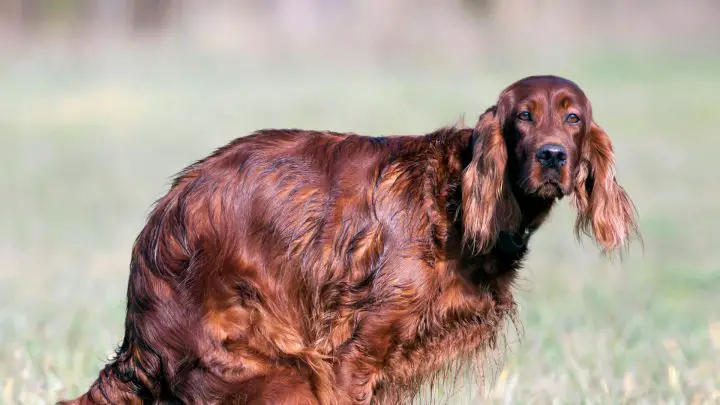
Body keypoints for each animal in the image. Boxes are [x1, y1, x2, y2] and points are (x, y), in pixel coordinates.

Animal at [60, 76, 636, 404]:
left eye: (573, 117)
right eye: (523, 117)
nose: (552, 156)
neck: (459, 200)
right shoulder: (351, 359)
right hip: (279, 376)